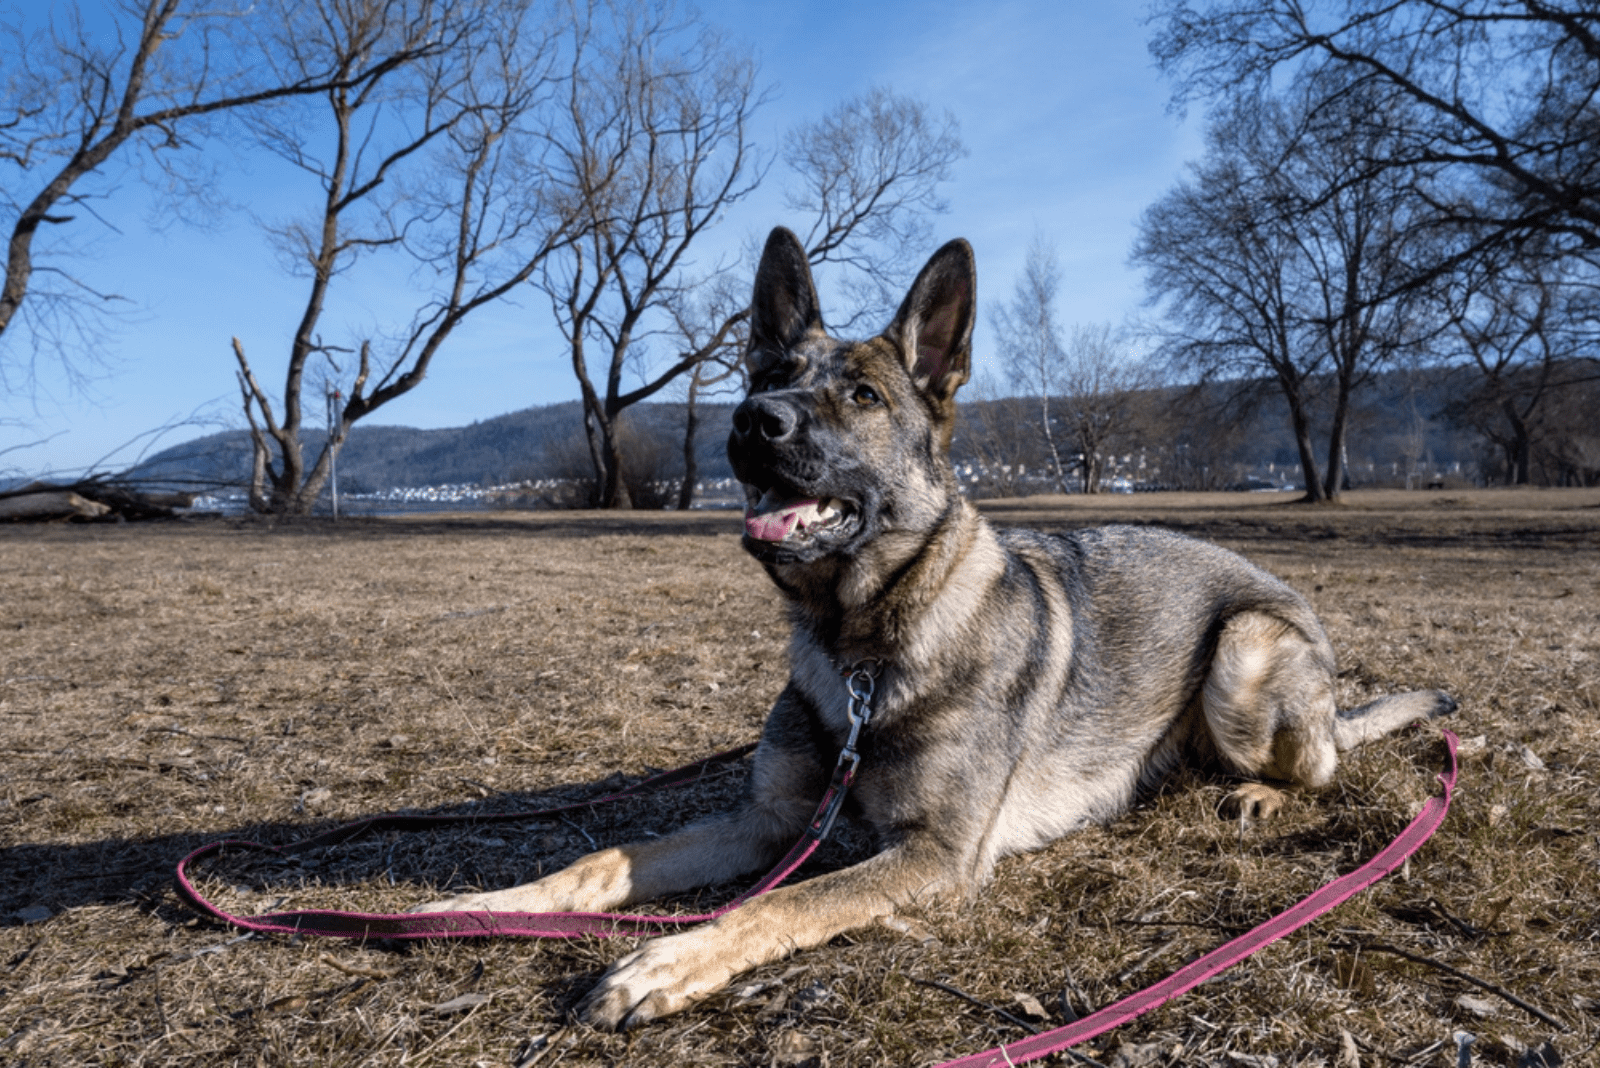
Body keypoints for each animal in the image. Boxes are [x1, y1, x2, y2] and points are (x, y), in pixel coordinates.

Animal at [416, 230, 1465, 1029]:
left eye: (863, 397)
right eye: (771, 373)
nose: (752, 421)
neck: (863, 648)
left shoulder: (933, 854)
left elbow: (779, 903)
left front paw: (664, 964)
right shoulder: (768, 821)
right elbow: (601, 860)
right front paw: (485, 906)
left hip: (1245, 649)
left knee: (1321, 765)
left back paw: (1260, 795)